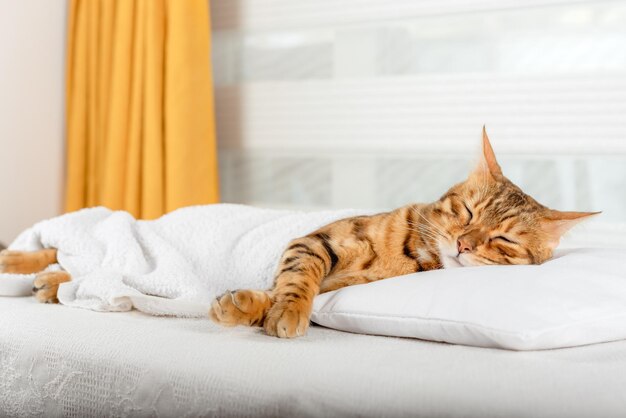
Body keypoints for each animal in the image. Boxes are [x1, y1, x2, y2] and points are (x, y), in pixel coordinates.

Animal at [0, 129, 596, 338]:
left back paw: (50, 285)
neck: (411, 254)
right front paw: (284, 312)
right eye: (468, 212)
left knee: (82, 269)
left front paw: (244, 307)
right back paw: (23, 267)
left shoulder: (338, 281)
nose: (465, 245)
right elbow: (295, 282)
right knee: (56, 249)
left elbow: (270, 293)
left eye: (504, 241)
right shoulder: (316, 242)